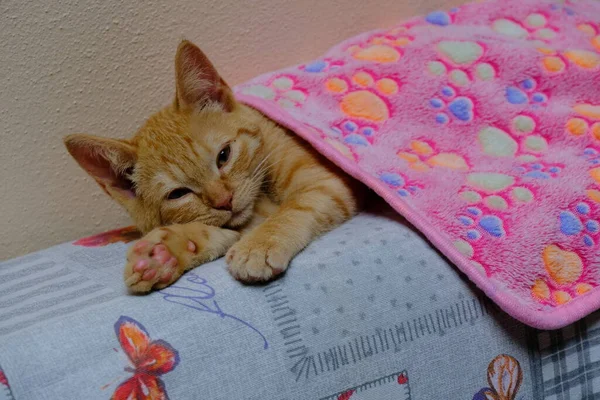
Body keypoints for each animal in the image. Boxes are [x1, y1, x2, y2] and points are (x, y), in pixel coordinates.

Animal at [66, 40, 366, 292]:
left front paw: (259, 244)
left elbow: (295, 208)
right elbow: (224, 230)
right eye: (178, 194)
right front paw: (167, 253)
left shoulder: (325, 184)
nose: (225, 201)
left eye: (224, 156)